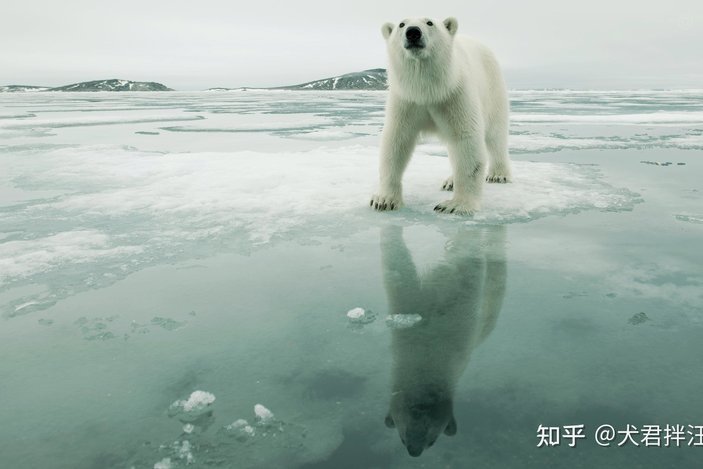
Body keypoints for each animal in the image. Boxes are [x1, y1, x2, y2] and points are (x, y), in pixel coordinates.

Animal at [370, 17, 511, 215]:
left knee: (496, 136)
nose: (413, 32)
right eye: (401, 24)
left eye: (429, 22)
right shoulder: (406, 101)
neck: (430, 91)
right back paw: (450, 181)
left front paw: (456, 205)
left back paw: (498, 174)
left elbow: (466, 139)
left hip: (493, 89)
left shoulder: (455, 94)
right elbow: (396, 141)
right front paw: (384, 200)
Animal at [380, 225, 507, 456]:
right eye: (402, 438)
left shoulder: (462, 316)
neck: (430, 348)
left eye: (432, 441)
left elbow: (469, 264)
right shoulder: (407, 306)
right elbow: (397, 263)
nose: (414, 451)